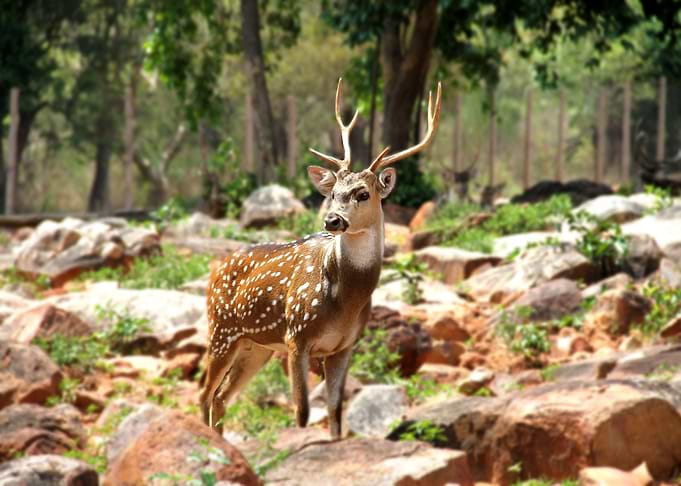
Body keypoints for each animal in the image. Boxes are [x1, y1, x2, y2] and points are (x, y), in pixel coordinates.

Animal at [200, 79, 442, 439]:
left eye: (363, 193)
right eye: (333, 193)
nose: (332, 220)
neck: (343, 302)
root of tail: (214, 272)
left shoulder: (344, 345)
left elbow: (335, 412)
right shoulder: (296, 337)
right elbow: (301, 412)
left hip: (256, 346)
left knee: (221, 397)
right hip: (222, 330)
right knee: (204, 393)